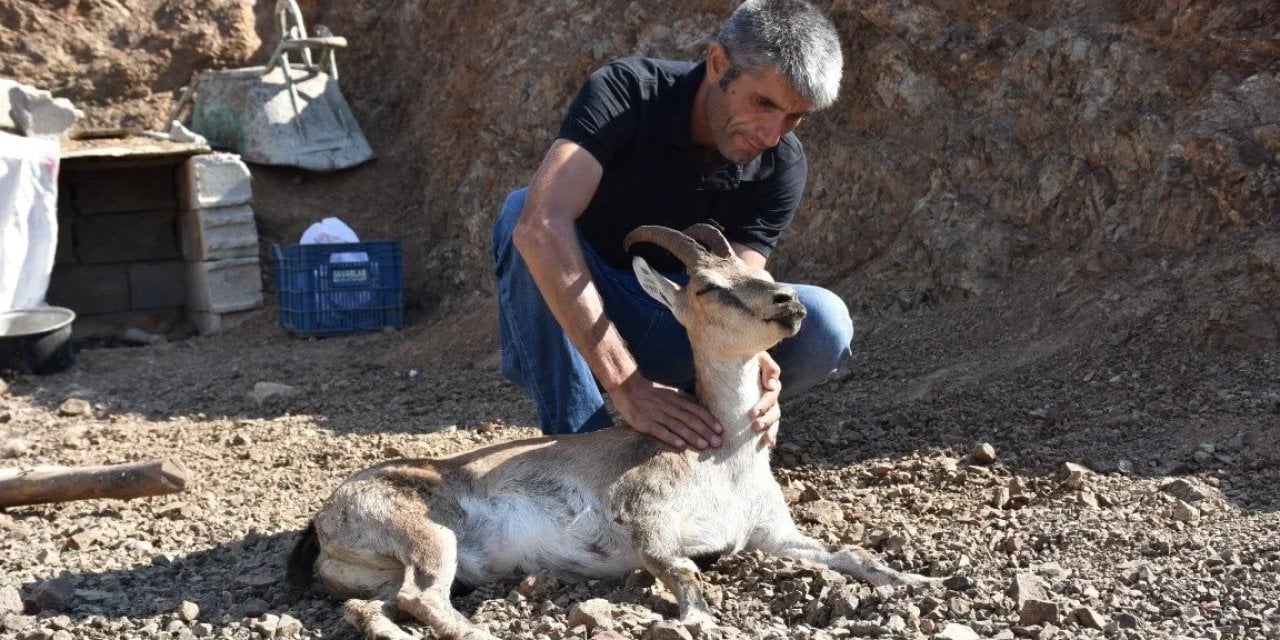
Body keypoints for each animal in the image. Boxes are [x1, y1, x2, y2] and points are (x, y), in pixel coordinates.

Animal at [285, 222, 936, 637]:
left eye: (761, 270)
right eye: (706, 286)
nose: (787, 302)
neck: (724, 461)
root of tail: (327, 515)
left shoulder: (770, 534)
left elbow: (850, 552)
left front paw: (918, 576)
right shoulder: (644, 516)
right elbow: (683, 570)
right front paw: (697, 621)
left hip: (380, 577)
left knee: (372, 612)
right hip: (428, 536)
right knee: (421, 597)